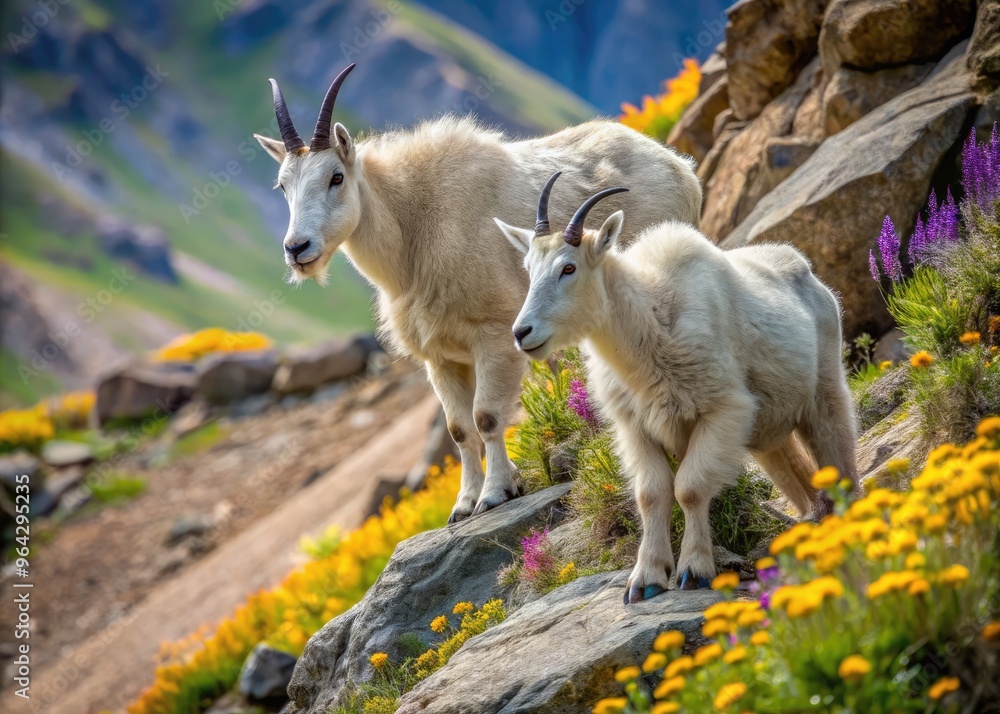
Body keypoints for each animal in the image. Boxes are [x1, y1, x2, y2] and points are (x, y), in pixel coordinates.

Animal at [255, 64, 703, 523]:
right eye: (283, 186)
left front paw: (495, 494)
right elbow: (459, 430)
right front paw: (463, 504)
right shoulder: (440, 358)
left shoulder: (494, 336)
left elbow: (486, 417)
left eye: (336, 177)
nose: (297, 249)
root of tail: (681, 168)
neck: (412, 233)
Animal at [496, 174, 858, 601]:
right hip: (768, 429)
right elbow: (651, 493)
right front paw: (646, 579)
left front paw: (694, 570)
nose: (522, 332)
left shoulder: (722, 410)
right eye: (528, 268)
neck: (649, 324)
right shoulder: (635, 427)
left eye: (568, 267)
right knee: (796, 475)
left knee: (837, 451)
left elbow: (690, 487)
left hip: (824, 390)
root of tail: (809, 272)